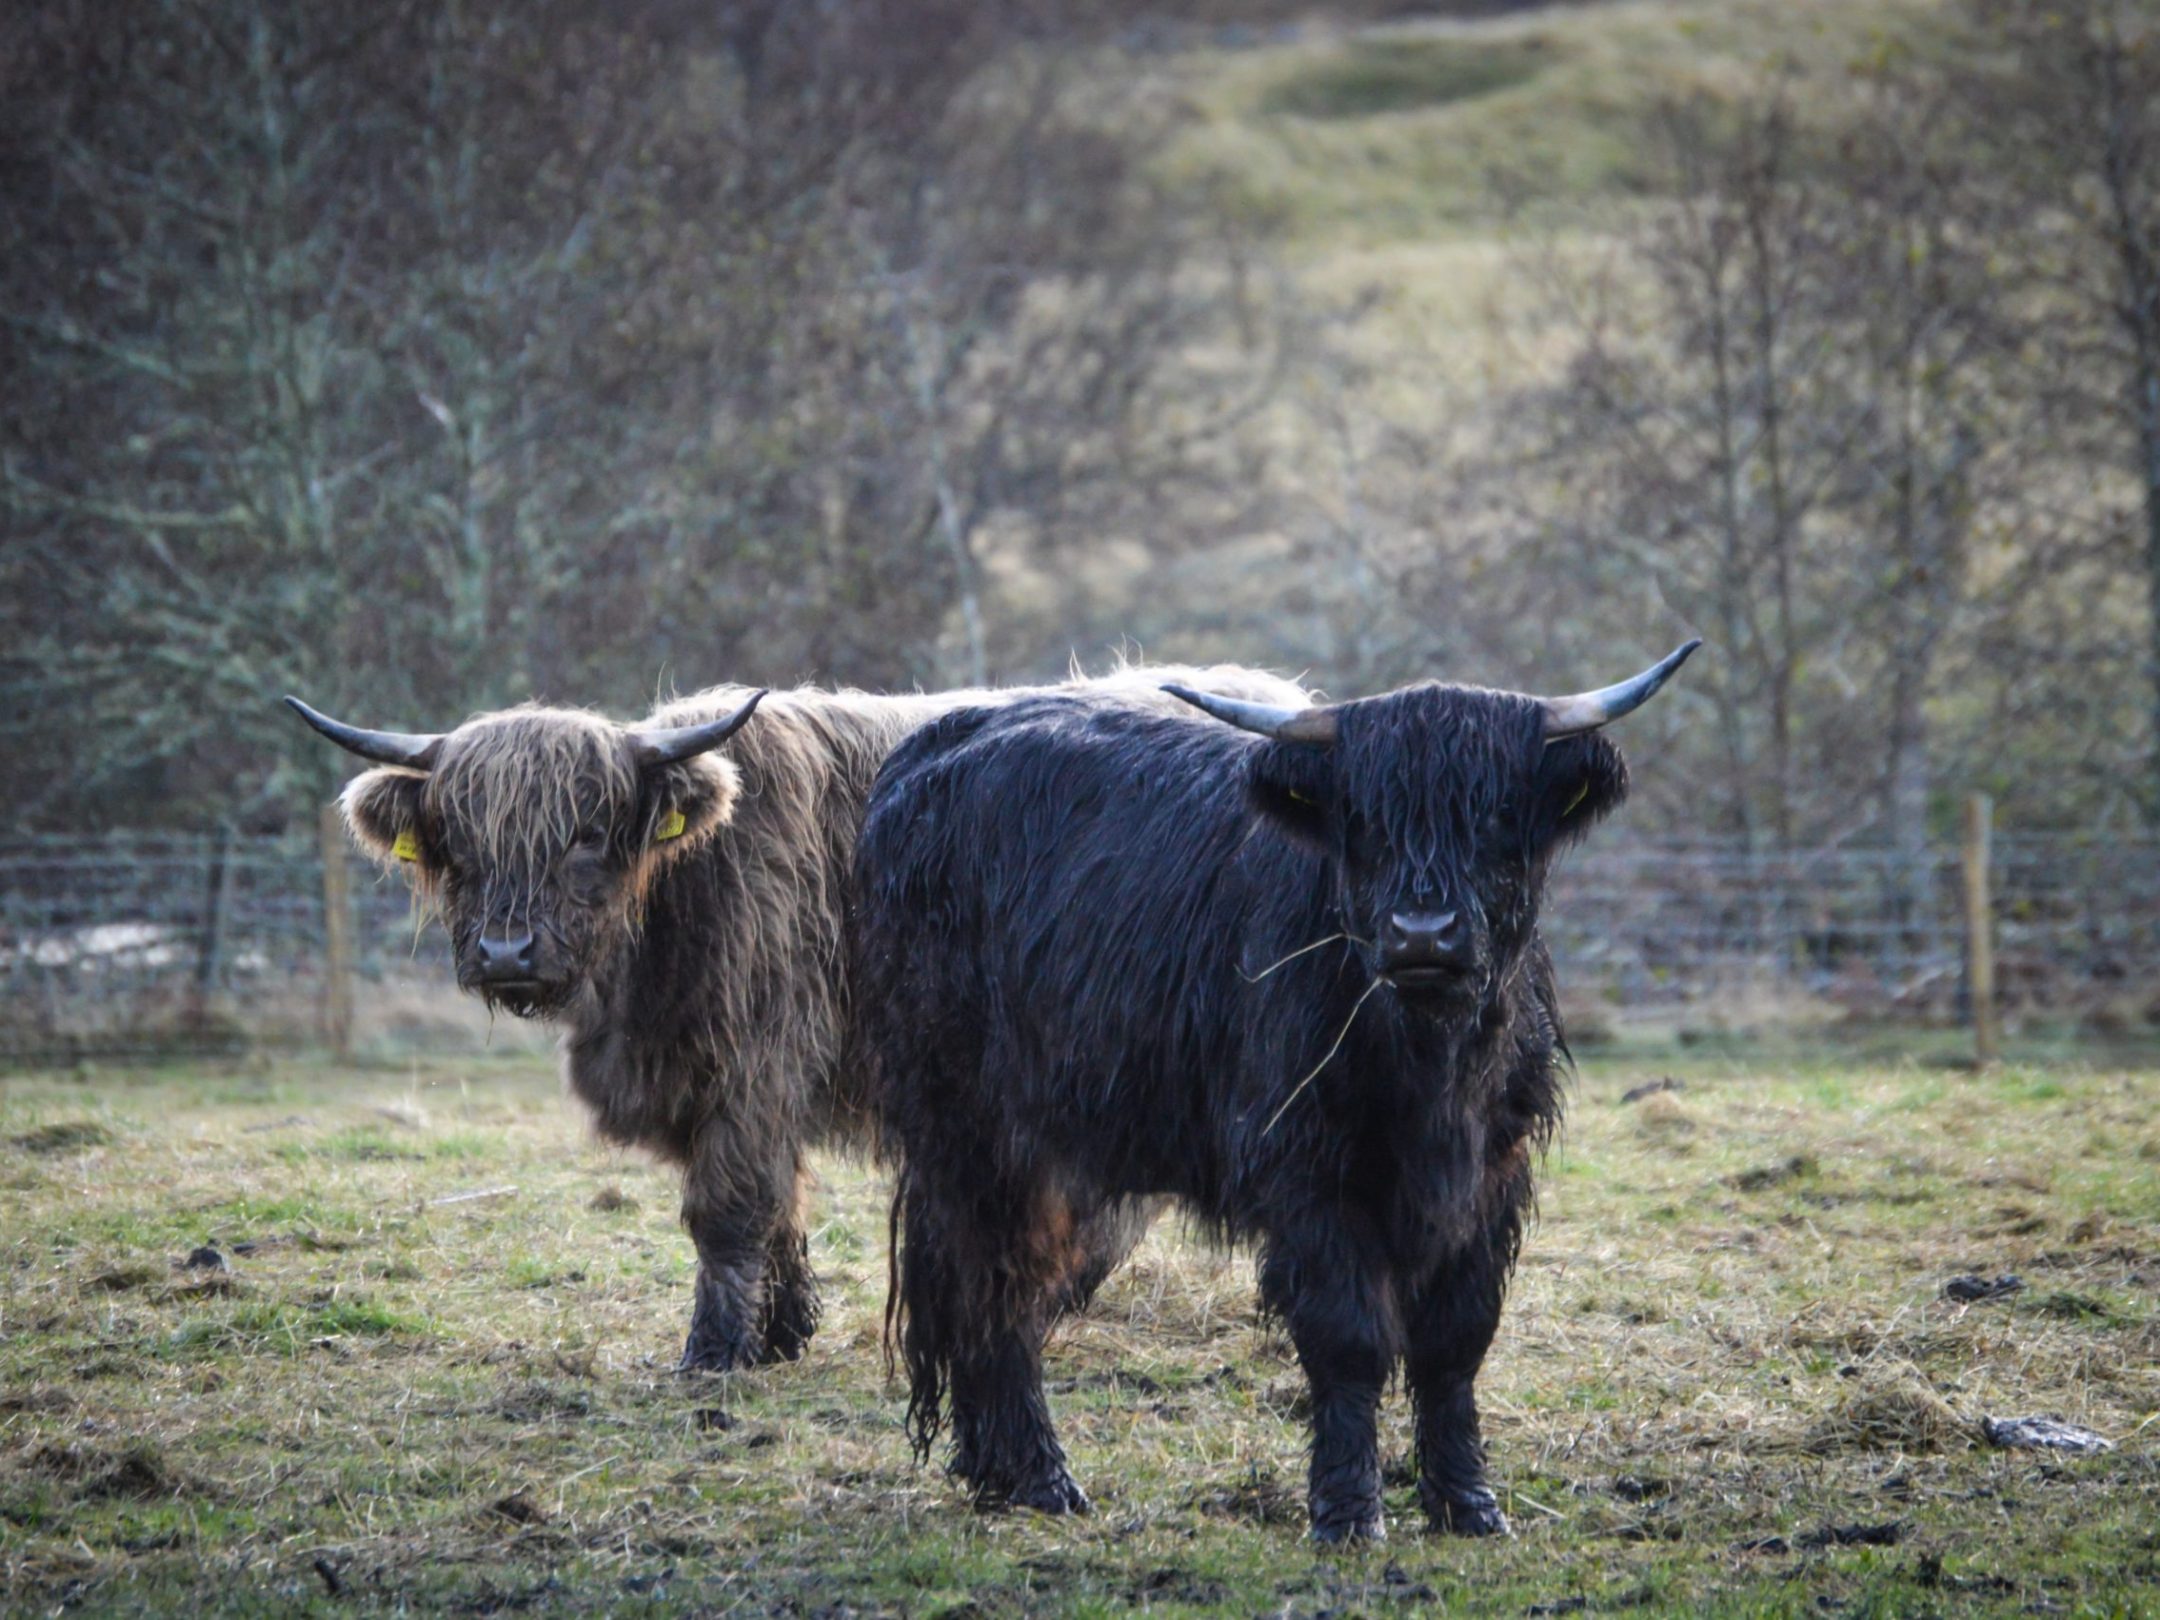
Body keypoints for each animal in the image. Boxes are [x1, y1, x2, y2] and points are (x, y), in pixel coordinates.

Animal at [283, 665, 1308, 1372]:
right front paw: (781, 1334)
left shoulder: (761, 1054)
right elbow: (779, 1203)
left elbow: (730, 1207)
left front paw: (713, 1352)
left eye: (586, 833)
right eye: (457, 841)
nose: (505, 952)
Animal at [854, 642, 1699, 1541]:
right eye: (1362, 820)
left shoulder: (1494, 1174)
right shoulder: (1306, 1170)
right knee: (991, 1287)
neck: (1430, 1069)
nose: (1423, 935)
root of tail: (938, 741)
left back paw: (1001, 1476)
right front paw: (1348, 1512)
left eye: (1499, 813)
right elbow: (1347, 1338)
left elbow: (1456, 1339)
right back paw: (1042, 1478)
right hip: (968, 1127)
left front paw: (1469, 1504)